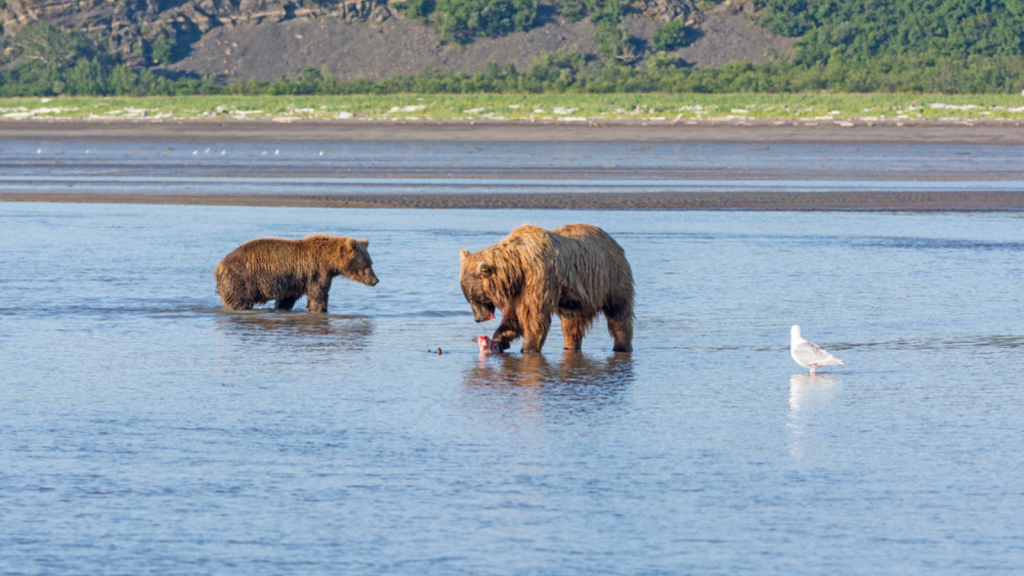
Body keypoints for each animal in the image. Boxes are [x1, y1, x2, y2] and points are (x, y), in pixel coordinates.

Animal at [214, 233, 378, 311]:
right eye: (367, 264)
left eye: (371, 262)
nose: (375, 280)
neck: (329, 262)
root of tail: (219, 266)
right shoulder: (316, 272)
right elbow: (318, 294)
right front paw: (320, 309)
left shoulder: (292, 282)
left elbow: (286, 300)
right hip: (241, 279)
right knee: (239, 301)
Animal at [462, 223, 630, 350]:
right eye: (468, 299)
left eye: (474, 298)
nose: (477, 319)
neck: (517, 266)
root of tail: (613, 241)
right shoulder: (517, 289)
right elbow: (514, 316)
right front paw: (500, 338)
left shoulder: (538, 277)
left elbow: (534, 316)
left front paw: (528, 347)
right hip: (576, 300)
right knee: (572, 325)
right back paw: (570, 346)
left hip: (609, 278)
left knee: (619, 315)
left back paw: (622, 346)